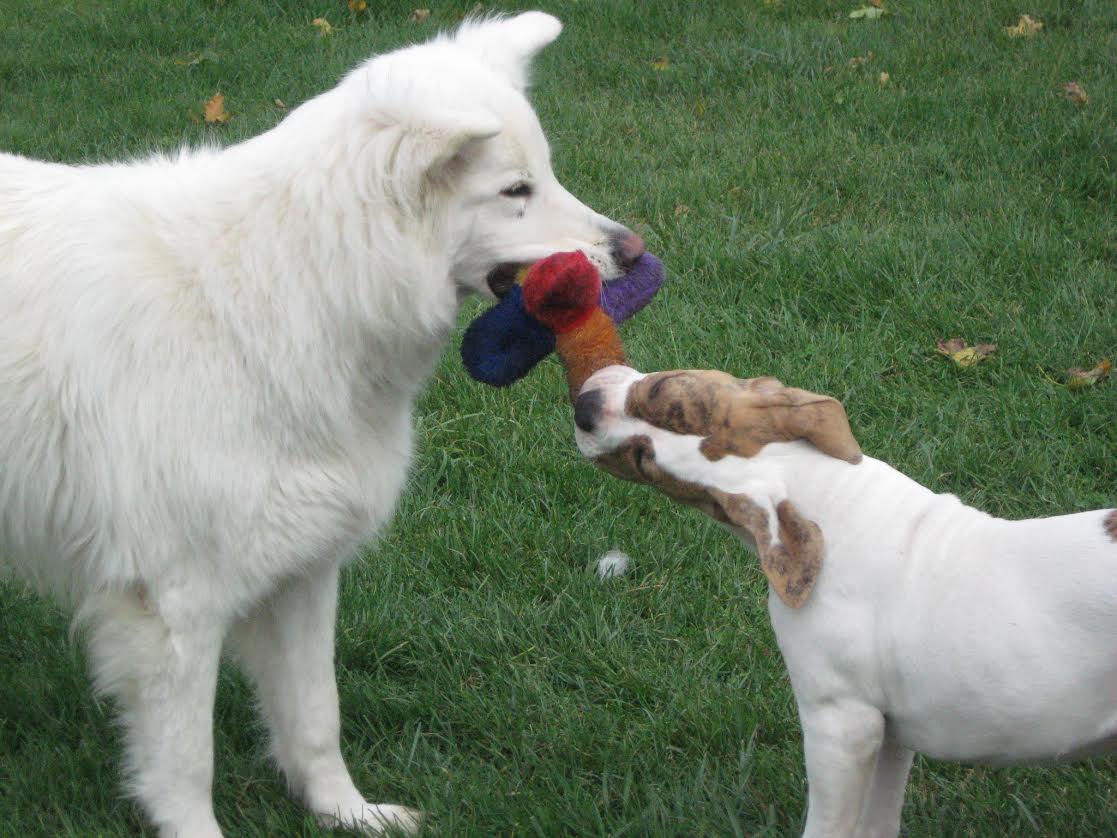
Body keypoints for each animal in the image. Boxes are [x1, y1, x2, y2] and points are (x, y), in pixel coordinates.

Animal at [0, 12, 646, 837]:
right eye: (515, 191)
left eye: (548, 174)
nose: (632, 250)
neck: (288, 289)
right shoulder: (175, 607)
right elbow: (186, 764)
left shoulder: (304, 570)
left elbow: (315, 717)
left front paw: (347, 813)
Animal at [573, 364, 1117, 838]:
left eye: (660, 390)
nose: (583, 409)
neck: (832, 502)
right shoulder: (890, 732)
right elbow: (877, 823)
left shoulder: (840, 724)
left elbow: (827, 826)